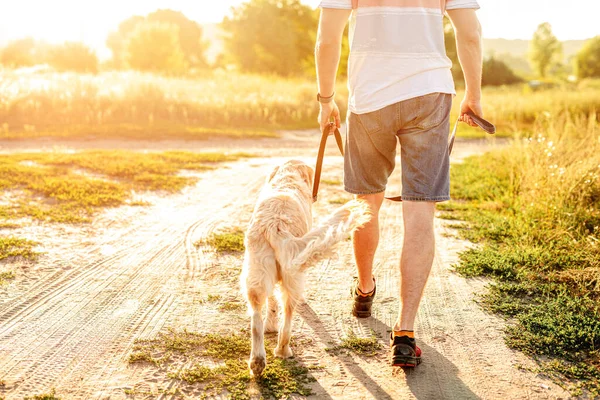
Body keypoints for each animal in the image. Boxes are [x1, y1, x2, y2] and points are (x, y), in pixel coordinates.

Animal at [240, 159, 370, 376]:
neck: (287, 177)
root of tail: (276, 225)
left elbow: (272, 303)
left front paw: (270, 325)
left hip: (257, 273)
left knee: (256, 320)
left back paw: (257, 362)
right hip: (292, 277)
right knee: (287, 318)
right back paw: (283, 351)